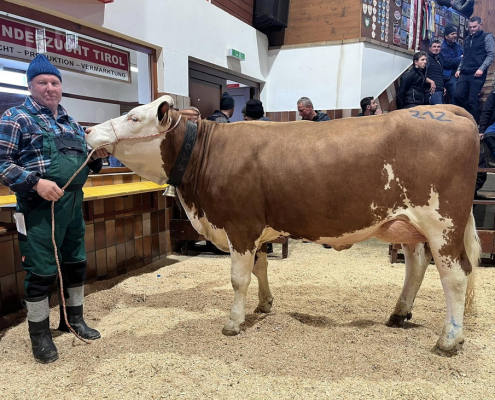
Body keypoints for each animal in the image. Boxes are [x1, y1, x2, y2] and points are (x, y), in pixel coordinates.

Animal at [85, 96, 480, 354]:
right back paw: (399, 314)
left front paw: (234, 322)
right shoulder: (256, 228)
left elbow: (238, 278)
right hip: (406, 224)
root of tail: (446, 109)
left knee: (455, 275)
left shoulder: (240, 225)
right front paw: (263, 305)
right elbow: (260, 268)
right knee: (416, 264)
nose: (87, 130)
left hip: (442, 223)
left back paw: (449, 340)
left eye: (134, 118)